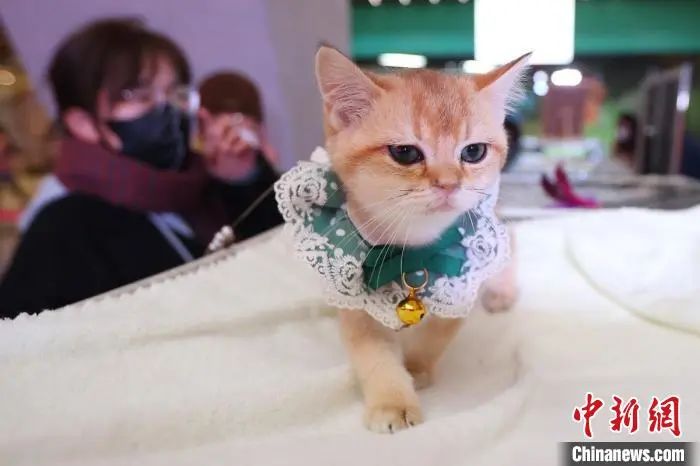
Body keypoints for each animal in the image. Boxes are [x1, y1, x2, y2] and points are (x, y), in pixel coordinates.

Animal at [314, 46, 527, 433]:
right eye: (405, 153)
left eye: (473, 152)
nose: (449, 184)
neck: (414, 249)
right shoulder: (352, 296)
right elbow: (372, 354)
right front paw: (392, 401)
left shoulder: (462, 283)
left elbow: (437, 335)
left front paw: (416, 368)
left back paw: (501, 291)